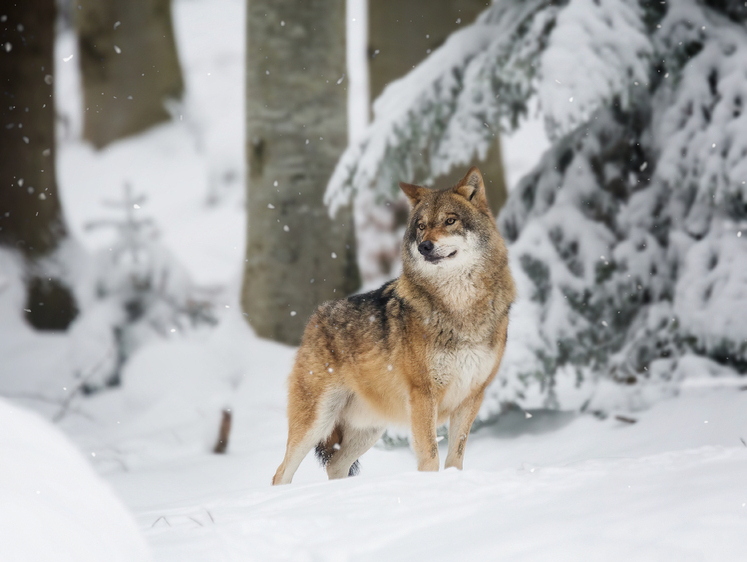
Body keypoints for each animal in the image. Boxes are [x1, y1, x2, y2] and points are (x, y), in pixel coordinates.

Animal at [272, 165, 516, 482]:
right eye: (421, 226)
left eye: (450, 221)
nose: (425, 246)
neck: (460, 308)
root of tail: (315, 317)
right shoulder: (423, 394)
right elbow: (430, 456)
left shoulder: (472, 396)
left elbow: (455, 457)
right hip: (316, 421)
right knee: (281, 473)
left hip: (370, 428)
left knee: (334, 465)